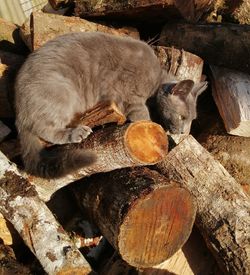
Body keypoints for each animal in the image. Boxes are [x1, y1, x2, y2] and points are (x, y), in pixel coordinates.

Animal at [14, 31, 208, 179]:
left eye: (191, 119)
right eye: (182, 116)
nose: (182, 131)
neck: (156, 81)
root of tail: (19, 110)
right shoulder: (131, 97)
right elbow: (144, 118)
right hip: (62, 91)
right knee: (45, 129)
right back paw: (77, 132)